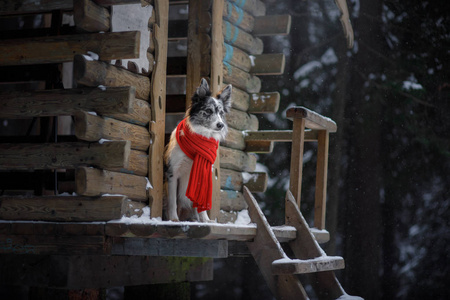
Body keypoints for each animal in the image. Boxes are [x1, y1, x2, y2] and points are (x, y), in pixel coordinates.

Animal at [163, 78, 232, 221]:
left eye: (221, 113)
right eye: (209, 111)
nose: (220, 125)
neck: (201, 135)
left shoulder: (201, 174)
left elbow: (199, 203)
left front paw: (205, 220)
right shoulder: (172, 172)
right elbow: (172, 201)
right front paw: (174, 219)